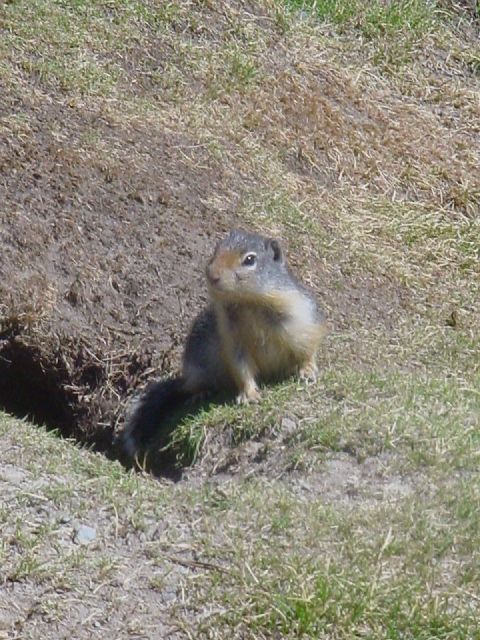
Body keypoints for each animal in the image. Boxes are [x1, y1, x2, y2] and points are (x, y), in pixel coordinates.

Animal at [120, 229, 327, 457]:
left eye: (249, 259)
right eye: (216, 250)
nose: (212, 275)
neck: (249, 302)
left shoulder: (300, 318)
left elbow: (307, 348)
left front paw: (307, 371)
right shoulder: (231, 338)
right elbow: (241, 367)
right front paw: (249, 395)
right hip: (197, 369)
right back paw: (201, 393)